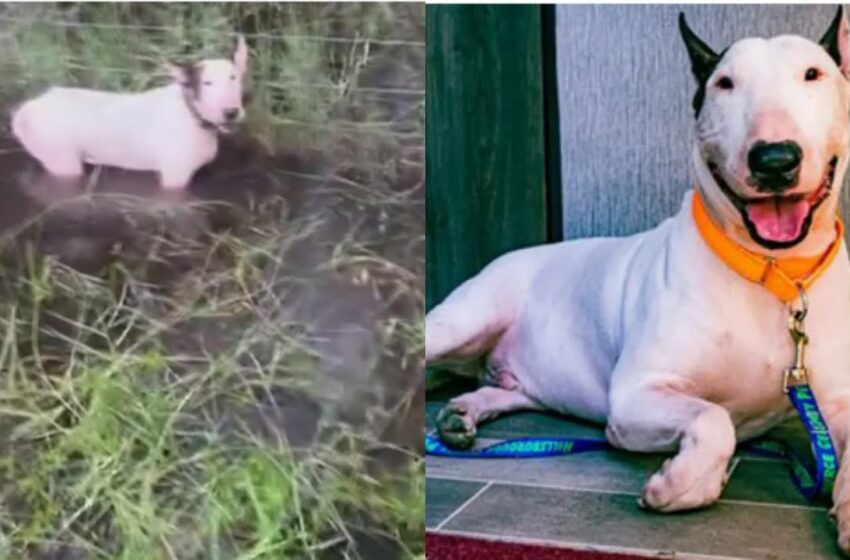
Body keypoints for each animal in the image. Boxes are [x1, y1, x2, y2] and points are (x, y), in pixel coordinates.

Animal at [10, 37, 248, 191]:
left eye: (233, 77)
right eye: (207, 83)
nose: (231, 112)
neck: (192, 114)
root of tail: (27, 108)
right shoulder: (174, 177)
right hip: (62, 161)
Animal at [430, 7, 850, 556]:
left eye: (813, 74)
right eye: (725, 83)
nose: (774, 159)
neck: (772, 272)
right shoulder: (635, 396)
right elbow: (714, 419)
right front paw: (679, 484)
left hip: (524, 382)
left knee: (499, 389)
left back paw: (460, 415)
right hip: (462, 321)